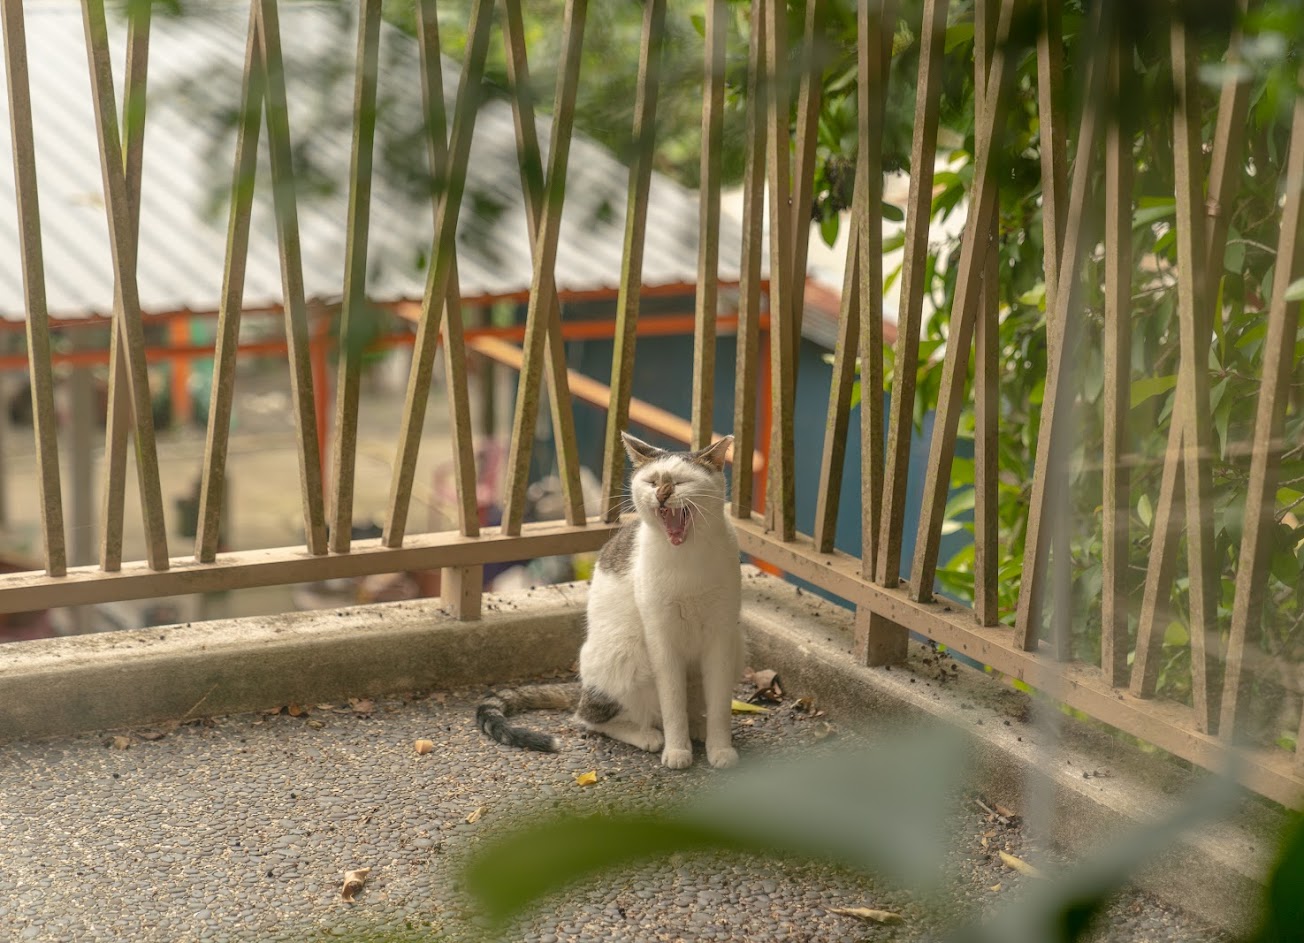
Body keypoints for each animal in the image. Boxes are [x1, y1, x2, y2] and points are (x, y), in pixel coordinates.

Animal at [477, 432, 745, 769]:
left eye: (680, 481)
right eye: (652, 481)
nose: (662, 495)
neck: (688, 555)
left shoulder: (722, 635)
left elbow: (719, 704)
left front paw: (719, 748)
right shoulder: (661, 637)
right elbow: (672, 702)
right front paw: (677, 750)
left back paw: (697, 726)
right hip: (625, 650)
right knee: (589, 718)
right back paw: (647, 735)